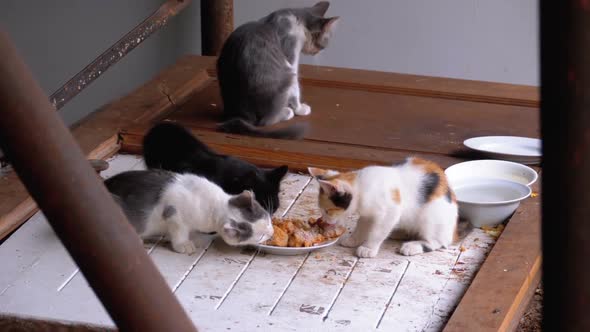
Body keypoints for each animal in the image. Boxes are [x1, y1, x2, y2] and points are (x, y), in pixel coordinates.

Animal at [217, 1, 340, 139]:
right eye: (326, 40)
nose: (320, 50)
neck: (296, 19)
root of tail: (243, 116)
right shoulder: (291, 55)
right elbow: (296, 90)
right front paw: (300, 109)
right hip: (287, 76)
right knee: (265, 121)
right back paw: (286, 112)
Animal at [310, 158, 462, 260]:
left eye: (328, 211)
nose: (324, 220)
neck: (361, 186)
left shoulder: (391, 211)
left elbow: (377, 231)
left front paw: (368, 248)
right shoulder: (367, 214)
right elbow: (361, 225)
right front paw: (354, 240)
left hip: (430, 217)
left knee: (438, 242)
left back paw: (413, 246)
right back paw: (400, 233)